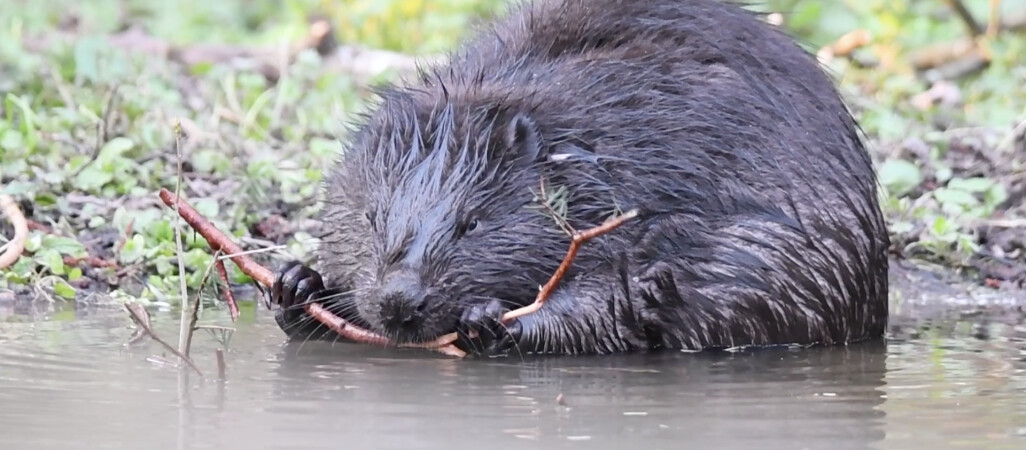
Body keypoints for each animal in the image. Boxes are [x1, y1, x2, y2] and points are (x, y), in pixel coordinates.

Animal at [266, 0, 890, 358]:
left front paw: (493, 322)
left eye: (472, 224)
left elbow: (618, 296)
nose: (400, 300)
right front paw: (298, 285)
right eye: (371, 218)